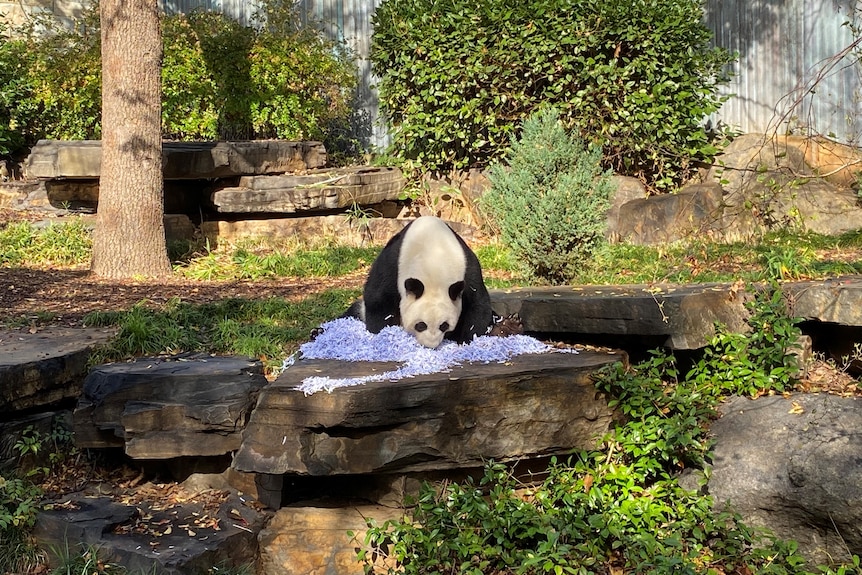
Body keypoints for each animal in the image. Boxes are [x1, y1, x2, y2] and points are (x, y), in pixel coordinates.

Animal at [342, 215, 492, 346]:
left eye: (444, 325)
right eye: (420, 325)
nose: (430, 345)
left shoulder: (467, 267)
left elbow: (477, 304)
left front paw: (467, 341)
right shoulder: (393, 264)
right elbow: (379, 299)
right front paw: (383, 335)